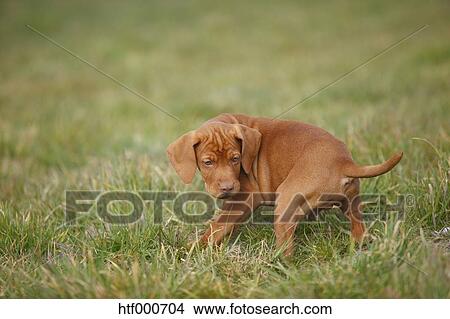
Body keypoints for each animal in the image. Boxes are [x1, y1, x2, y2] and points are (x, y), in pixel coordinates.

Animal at [167, 114, 402, 256]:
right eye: (208, 162)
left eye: (236, 159)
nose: (227, 188)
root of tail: (343, 161)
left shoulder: (245, 196)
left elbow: (219, 225)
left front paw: (194, 248)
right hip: (351, 200)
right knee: (358, 224)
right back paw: (358, 244)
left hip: (286, 199)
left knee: (287, 247)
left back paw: (277, 264)